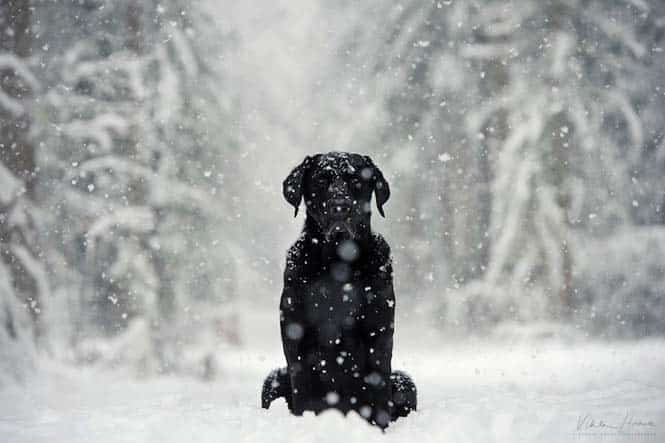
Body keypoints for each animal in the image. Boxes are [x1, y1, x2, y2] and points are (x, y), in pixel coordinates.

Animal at [260, 153, 416, 430]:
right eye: (322, 180)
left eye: (356, 180)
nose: (340, 207)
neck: (337, 262)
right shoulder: (295, 334)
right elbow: (303, 391)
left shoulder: (378, 332)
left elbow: (378, 389)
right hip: (273, 380)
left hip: (406, 383)